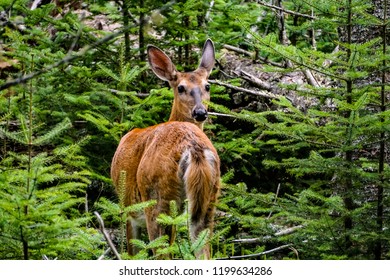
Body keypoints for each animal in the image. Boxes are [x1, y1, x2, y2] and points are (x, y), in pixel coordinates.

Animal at [110, 38, 219, 260]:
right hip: (209, 199)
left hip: (156, 199)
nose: (200, 112)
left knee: (161, 252)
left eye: (207, 86)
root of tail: (193, 148)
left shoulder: (127, 207)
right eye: (181, 88)